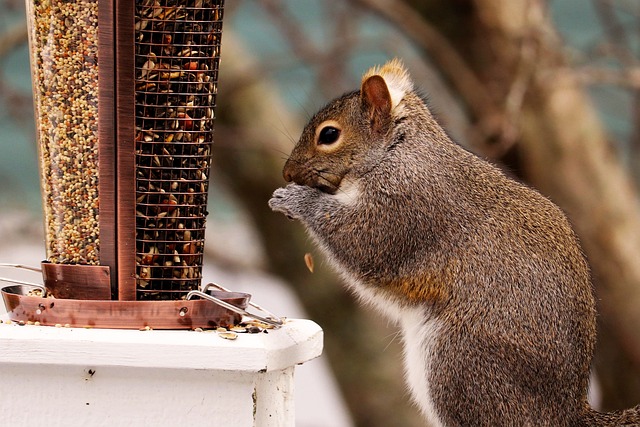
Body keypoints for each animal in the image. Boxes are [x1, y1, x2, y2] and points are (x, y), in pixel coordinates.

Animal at [268, 58, 640, 426]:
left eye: (329, 134)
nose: (287, 172)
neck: (395, 150)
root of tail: (565, 412)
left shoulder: (406, 206)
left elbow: (361, 241)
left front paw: (294, 200)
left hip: (458, 364)